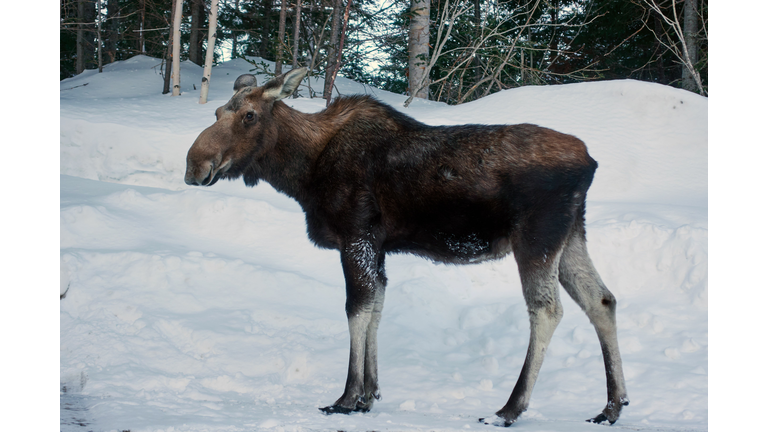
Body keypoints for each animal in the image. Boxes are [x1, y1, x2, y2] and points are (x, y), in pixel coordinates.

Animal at [186, 67, 632, 426]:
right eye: (216, 113)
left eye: (249, 115)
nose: (195, 166)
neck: (304, 172)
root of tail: (589, 162)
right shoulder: (377, 246)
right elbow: (377, 307)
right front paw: (369, 395)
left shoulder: (356, 235)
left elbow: (357, 308)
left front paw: (347, 397)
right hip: (571, 234)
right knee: (601, 300)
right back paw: (612, 406)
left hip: (537, 235)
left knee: (547, 310)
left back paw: (510, 408)